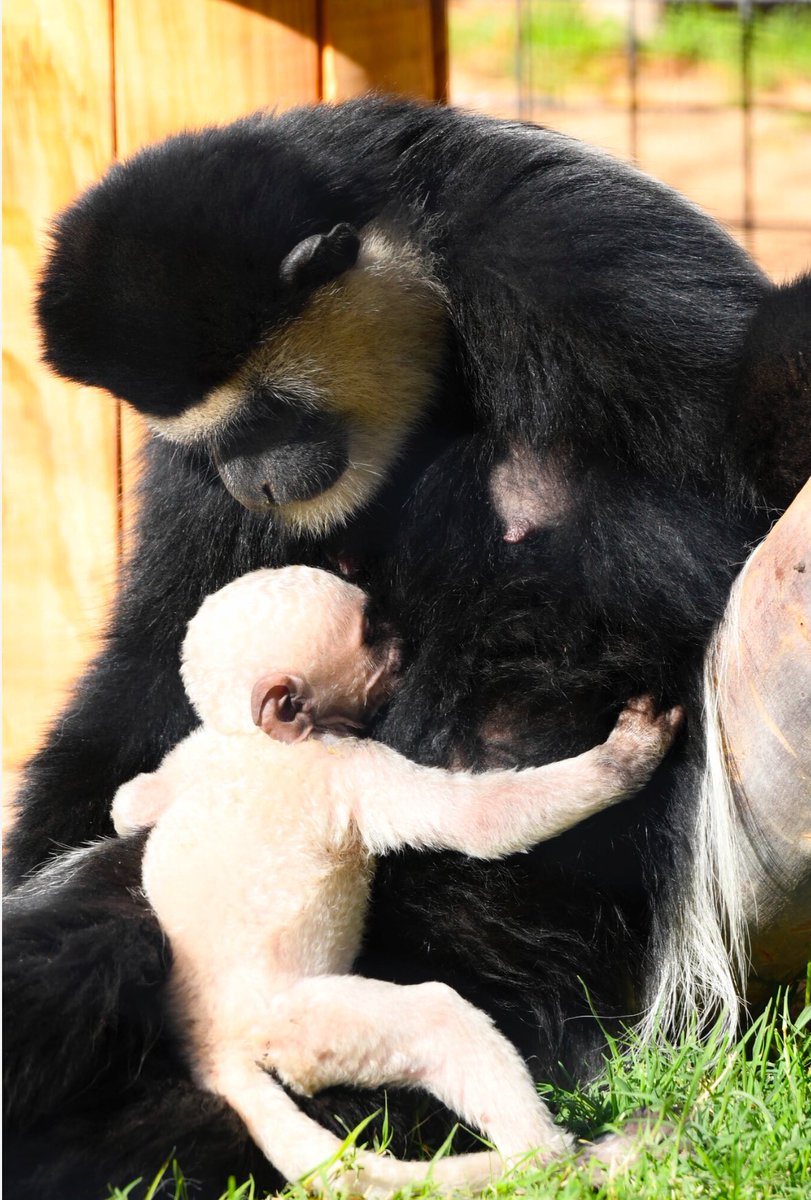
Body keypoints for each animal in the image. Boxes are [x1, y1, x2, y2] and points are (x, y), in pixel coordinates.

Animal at [110, 565, 682, 1196]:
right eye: (371, 633)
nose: (405, 642)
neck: (249, 736)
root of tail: (214, 1048)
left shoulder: (196, 752)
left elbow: (130, 802)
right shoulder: (349, 763)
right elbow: (479, 824)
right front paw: (628, 757)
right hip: (302, 1029)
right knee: (438, 1021)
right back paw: (551, 1158)